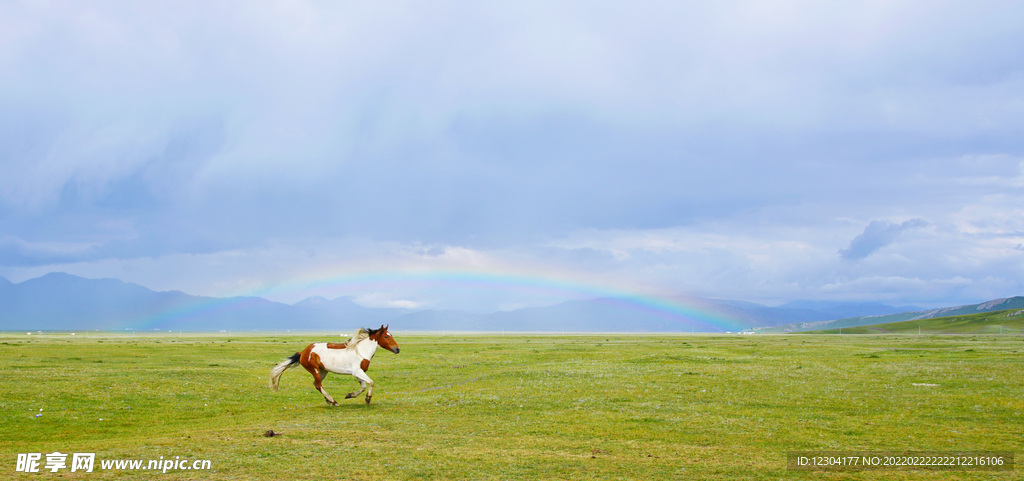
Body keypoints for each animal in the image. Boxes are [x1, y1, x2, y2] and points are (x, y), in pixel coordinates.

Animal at [268, 325, 399, 403]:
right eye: (386, 336)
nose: (397, 349)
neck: (361, 351)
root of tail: (303, 352)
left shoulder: (358, 372)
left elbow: (363, 386)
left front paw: (350, 395)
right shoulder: (357, 371)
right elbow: (371, 382)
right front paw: (368, 398)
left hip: (322, 371)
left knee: (316, 384)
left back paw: (328, 400)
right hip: (314, 369)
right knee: (318, 385)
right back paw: (332, 401)